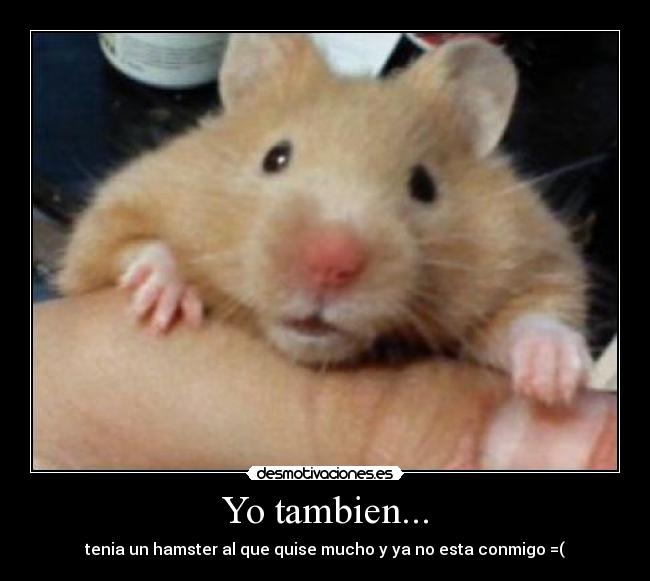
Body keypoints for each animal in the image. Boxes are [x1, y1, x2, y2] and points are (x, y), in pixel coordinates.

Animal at [57, 33, 591, 407]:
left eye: (424, 186)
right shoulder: (120, 207)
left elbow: (535, 313)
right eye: (275, 157)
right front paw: (162, 297)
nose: (332, 266)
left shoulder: (535, 253)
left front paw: (557, 380)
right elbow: (121, 245)